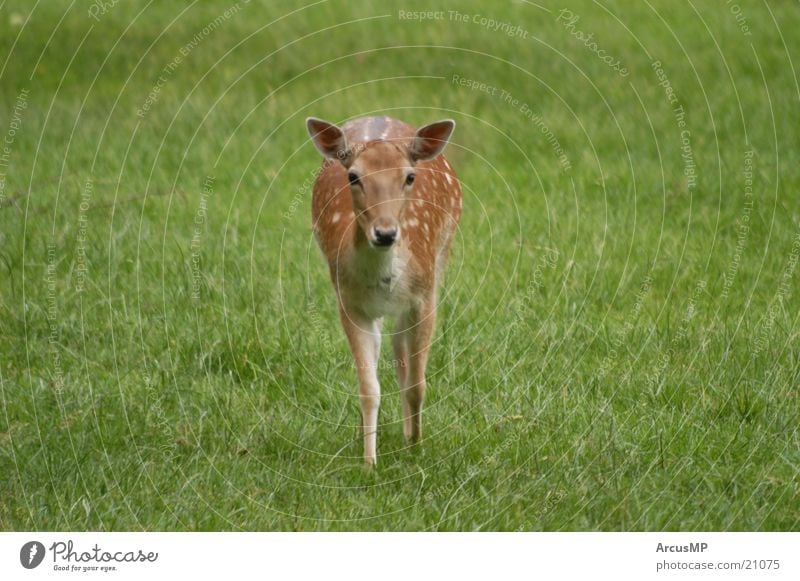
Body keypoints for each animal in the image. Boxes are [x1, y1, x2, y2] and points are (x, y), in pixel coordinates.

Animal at [304, 115, 460, 464]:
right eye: (353, 176)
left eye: (410, 176)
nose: (386, 233)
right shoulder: (350, 304)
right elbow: (368, 388)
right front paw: (368, 463)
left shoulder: (424, 297)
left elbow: (417, 383)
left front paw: (416, 448)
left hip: (442, 257)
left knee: (401, 353)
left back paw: (409, 436)